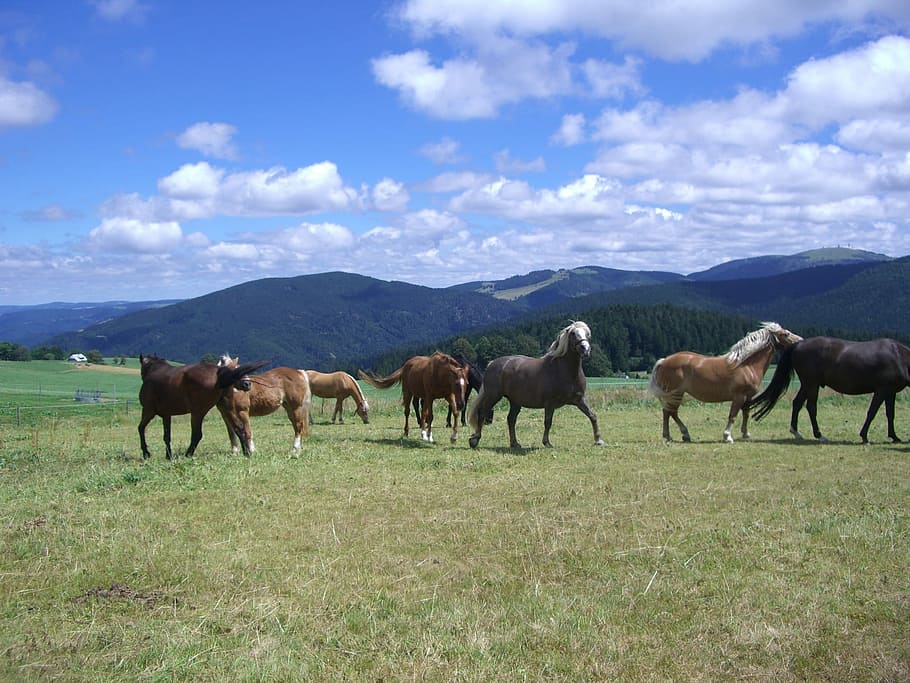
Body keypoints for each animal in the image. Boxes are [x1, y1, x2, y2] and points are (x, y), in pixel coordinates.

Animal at [138, 354, 268, 460]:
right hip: (227, 409)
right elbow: (167, 436)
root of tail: (218, 373)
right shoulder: (166, 415)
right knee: (239, 428)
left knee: (197, 434)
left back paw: (188, 454)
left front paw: (146, 453)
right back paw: (247, 453)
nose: (247, 384)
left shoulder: (148, 411)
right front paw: (168, 455)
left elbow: (141, 428)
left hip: (197, 412)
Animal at [467, 321, 603, 449]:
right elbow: (548, 422)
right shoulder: (550, 403)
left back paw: (514, 443)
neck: (564, 371)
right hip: (493, 396)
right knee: (482, 413)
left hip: (515, 402)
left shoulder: (579, 399)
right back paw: (474, 440)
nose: (585, 349)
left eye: (588, 334)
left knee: (511, 420)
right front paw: (547, 443)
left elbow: (593, 416)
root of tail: (492, 363)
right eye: (573, 333)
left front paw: (599, 440)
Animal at [648, 322, 803, 444]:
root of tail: (664, 361)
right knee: (670, 412)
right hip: (675, 394)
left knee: (669, 412)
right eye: (786, 334)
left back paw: (678, 435)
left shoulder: (748, 397)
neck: (746, 365)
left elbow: (745, 414)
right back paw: (674, 435)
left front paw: (746, 434)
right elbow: (732, 415)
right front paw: (727, 436)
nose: (801, 340)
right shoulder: (739, 397)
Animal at [750, 337, 910, 443]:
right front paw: (864, 436)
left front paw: (894, 437)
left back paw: (796, 432)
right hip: (812, 385)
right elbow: (872, 412)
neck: (898, 356)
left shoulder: (891, 392)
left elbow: (890, 414)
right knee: (811, 407)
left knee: (797, 403)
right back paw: (819, 435)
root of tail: (798, 344)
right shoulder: (881, 390)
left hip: (807, 385)